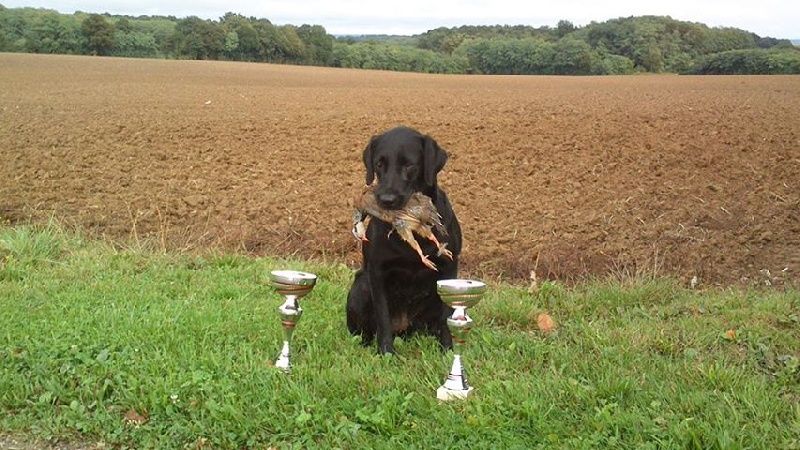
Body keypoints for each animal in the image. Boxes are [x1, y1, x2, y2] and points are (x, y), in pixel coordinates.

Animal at [346, 126, 462, 356]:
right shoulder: (377, 273)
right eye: (379, 164)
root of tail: (404, 326)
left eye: (409, 165)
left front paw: (447, 351)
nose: (386, 200)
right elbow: (382, 318)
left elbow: (446, 318)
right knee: (365, 330)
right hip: (361, 286)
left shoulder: (449, 268)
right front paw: (386, 354)